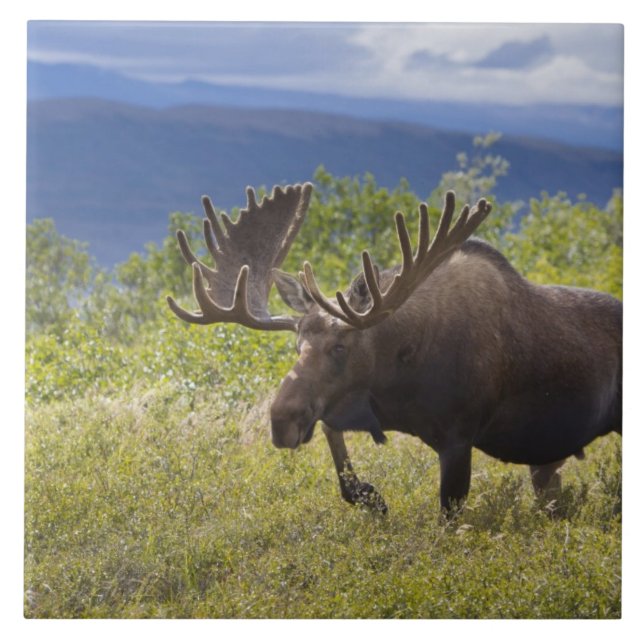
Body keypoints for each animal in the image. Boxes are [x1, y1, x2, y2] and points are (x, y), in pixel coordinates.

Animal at [167, 182, 622, 516]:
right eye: (297, 344)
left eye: (340, 346)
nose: (281, 421)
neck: (402, 373)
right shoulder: (361, 407)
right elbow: (335, 444)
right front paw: (371, 497)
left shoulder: (458, 438)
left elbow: (449, 514)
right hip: (547, 459)